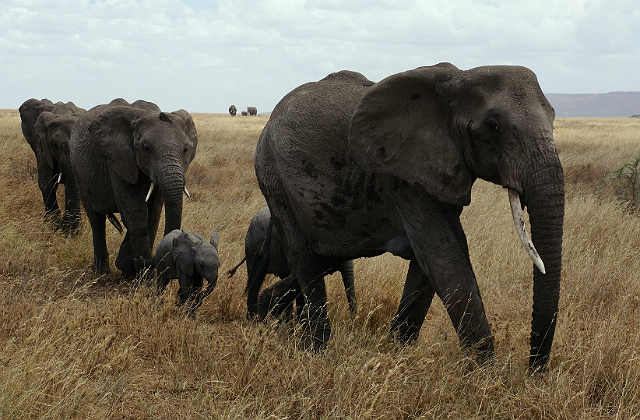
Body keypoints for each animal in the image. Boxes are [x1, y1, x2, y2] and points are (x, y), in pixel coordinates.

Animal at [70, 97, 198, 278]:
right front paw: (143, 277)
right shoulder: (117, 159)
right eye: (146, 148)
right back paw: (102, 272)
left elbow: (153, 212)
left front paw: (129, 268)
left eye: (185, 149)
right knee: (96, 220)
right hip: (78, 173)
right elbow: (136, 212)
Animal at [255, 64, 564, 372]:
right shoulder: (405, 175)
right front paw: (486, 374)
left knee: (319, 262)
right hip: (275, 183)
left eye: (553, 116)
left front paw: (396, 351)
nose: (533, 372)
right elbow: (445, 258)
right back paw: (318, 351)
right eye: (492, 125)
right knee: (306, 263)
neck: (459, 77)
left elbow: (429, 263)